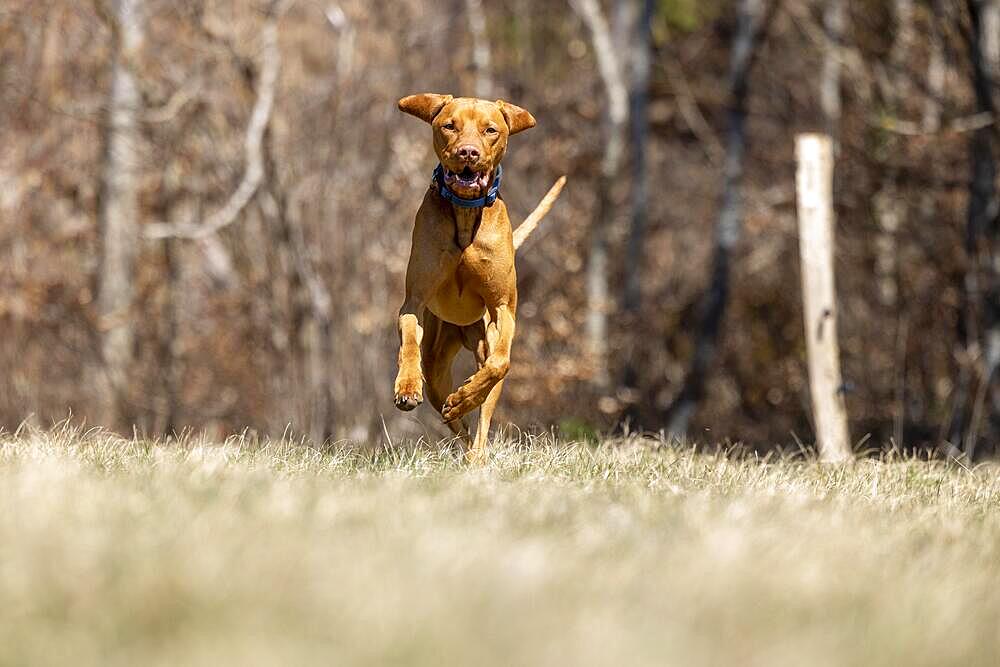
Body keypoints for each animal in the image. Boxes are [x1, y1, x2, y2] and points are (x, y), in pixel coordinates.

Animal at [390, 94, 564, 462]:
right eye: (449, 126)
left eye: (490, 130)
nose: (468, 153)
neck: (466, 212)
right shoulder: (414, 302)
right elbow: (409, 341)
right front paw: (407, 387)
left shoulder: (503, 310)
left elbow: (501, 363)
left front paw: (467, 397)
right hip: (437, 367)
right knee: (454, 419)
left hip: (483, 341)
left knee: (481, 411)